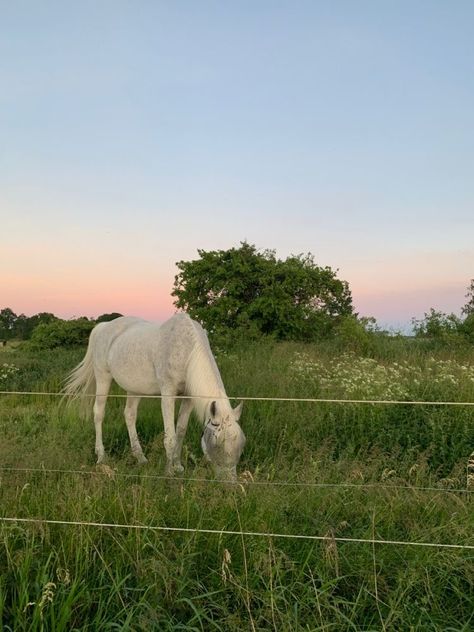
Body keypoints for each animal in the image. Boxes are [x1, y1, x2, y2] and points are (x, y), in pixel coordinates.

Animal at [63, 314, 246, 482]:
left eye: (241, 445)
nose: (230, 483)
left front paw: (178, 466)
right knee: (99, 414)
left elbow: (180, 431)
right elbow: (170, 437)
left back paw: (140, 457)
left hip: (134, 389)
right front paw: (169, 473)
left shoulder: (189, 398)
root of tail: (103, 327)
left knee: (129, 415)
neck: (187, 349)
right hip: (103, 378)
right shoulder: (167, 394)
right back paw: (101, 457)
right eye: (218, 444)